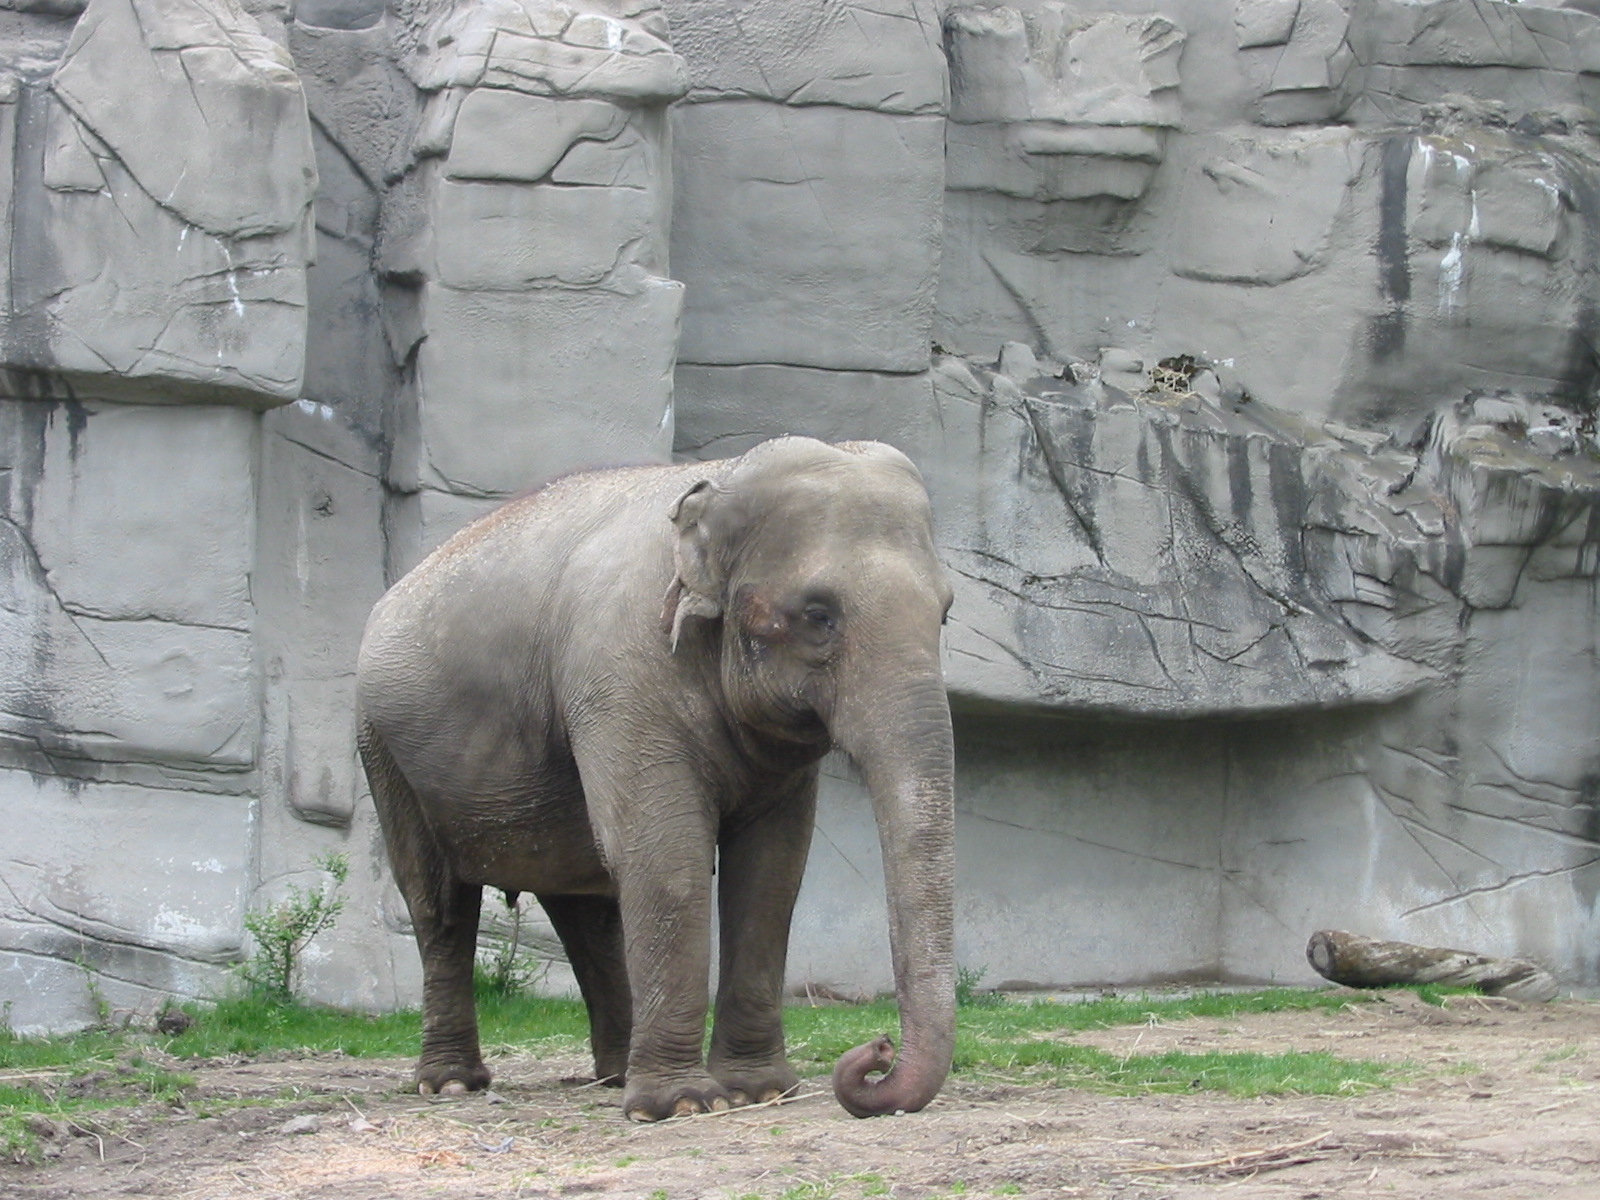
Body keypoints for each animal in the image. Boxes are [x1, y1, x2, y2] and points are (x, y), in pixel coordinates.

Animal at [355, 436, 956, 1121]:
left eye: (945, 613)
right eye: (817, 614)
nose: (876, 1050)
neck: (719, 481)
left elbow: (772, 868)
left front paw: (757, 1091)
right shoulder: (621, 672)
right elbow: (667, 855)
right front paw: (684, 1105)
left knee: (588, 911)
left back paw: (616, 1075)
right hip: (384, 751)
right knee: (440, 906)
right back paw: (453, 1084)